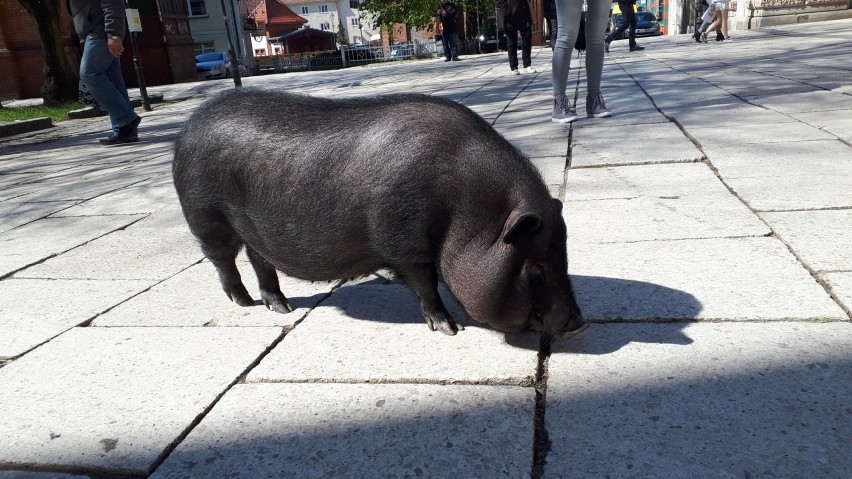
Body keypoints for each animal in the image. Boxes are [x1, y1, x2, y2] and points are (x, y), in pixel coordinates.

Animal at [173, 89, 584, 338]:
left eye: (564, 258)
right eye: (536, 267)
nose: (580, 324)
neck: (467, 214)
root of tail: (189, 125)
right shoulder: (405, 245)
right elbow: (426, 284)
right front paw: (450, 329)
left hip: (252, 230)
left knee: (261, 260)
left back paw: (282, 308)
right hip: (206, 217)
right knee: (223, 260)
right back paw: (243, 303)